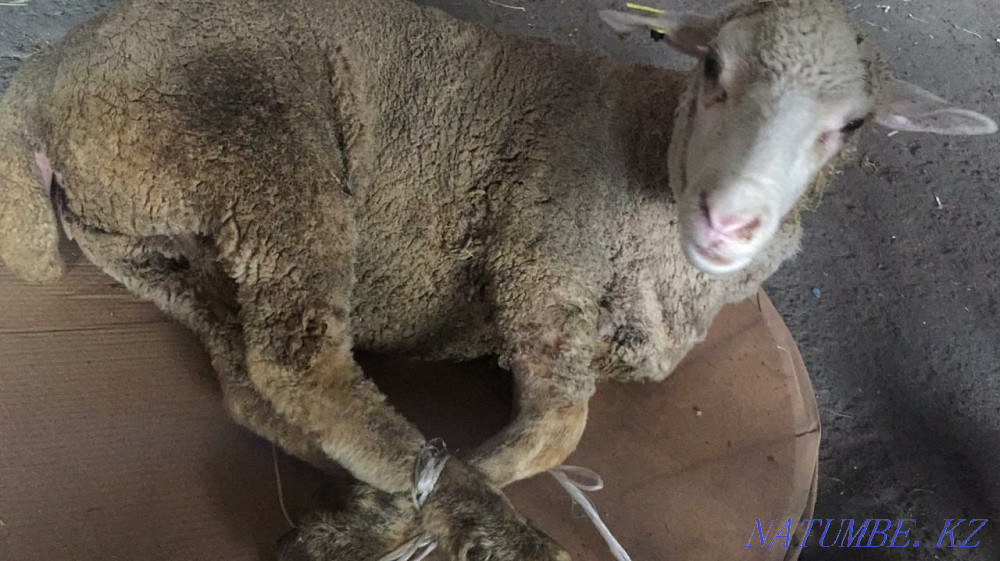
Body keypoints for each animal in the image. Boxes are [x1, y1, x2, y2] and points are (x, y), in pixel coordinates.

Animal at [0, 0, 995, 558]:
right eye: (713, 66)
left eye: (855, 124)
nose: (729, 219)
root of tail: (36, 85)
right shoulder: (541, 268)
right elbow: (559, 430)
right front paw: (400, 520)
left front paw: (372, 521)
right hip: (260, 148)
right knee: (302, 364)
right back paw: (493, 526)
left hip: (167, 246)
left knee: (252, 381)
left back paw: (360, 486)